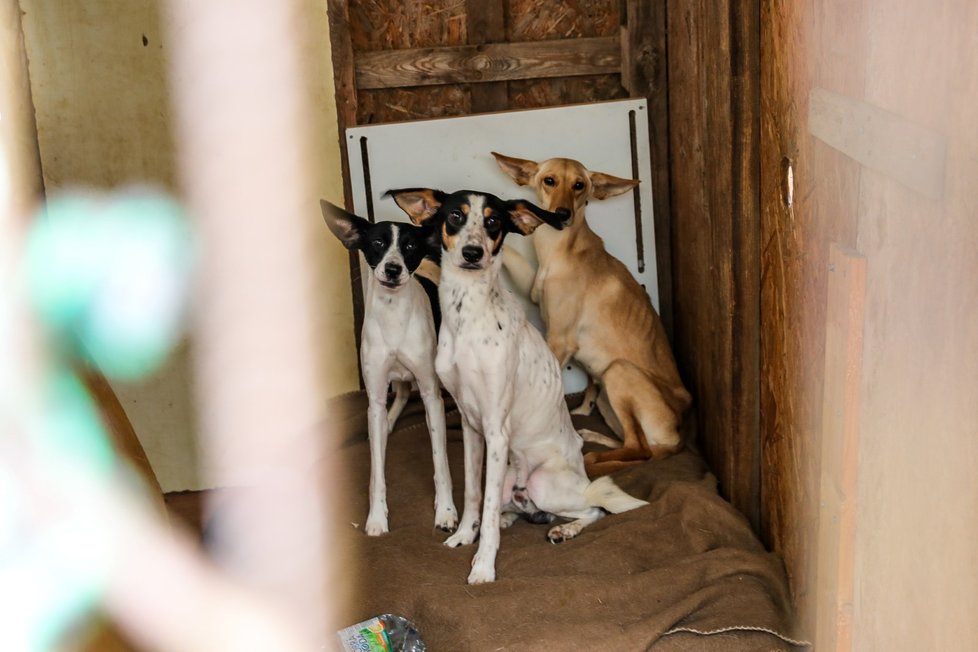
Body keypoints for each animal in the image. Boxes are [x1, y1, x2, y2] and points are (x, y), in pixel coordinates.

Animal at [320, 201, 458, 536]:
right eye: (377, 243)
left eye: (409, 246)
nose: (393, 269)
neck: (394, 314)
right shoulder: (375, 395)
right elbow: (376, 473)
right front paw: (377, 517)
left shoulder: (431, 395)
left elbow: (440, 462)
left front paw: (446, 511)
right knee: (398, 398)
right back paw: (387, 424)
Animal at [384, 190, 648, 584]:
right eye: (455, 216)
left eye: (493, 221)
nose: (473, 253)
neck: (467, 315)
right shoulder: (470, 426)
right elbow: (474, 494)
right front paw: (465, 534)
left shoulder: (496, 429)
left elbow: (488, 505)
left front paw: (483, 564)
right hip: (512, 478)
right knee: (517, 507)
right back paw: (514, 519)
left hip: (546, 484)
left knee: (594, 508)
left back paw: (563, 529)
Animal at [492, 153, 692, 478]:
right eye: (549, 180)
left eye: (579, 185)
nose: (562, 214)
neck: (559, 250)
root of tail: (679, 440)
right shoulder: (532, 288)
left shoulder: (559, 341)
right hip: (609, 400)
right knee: (633, 443)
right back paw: (592, 436)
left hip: (618, 371)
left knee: (640, 450)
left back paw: (591, 460)